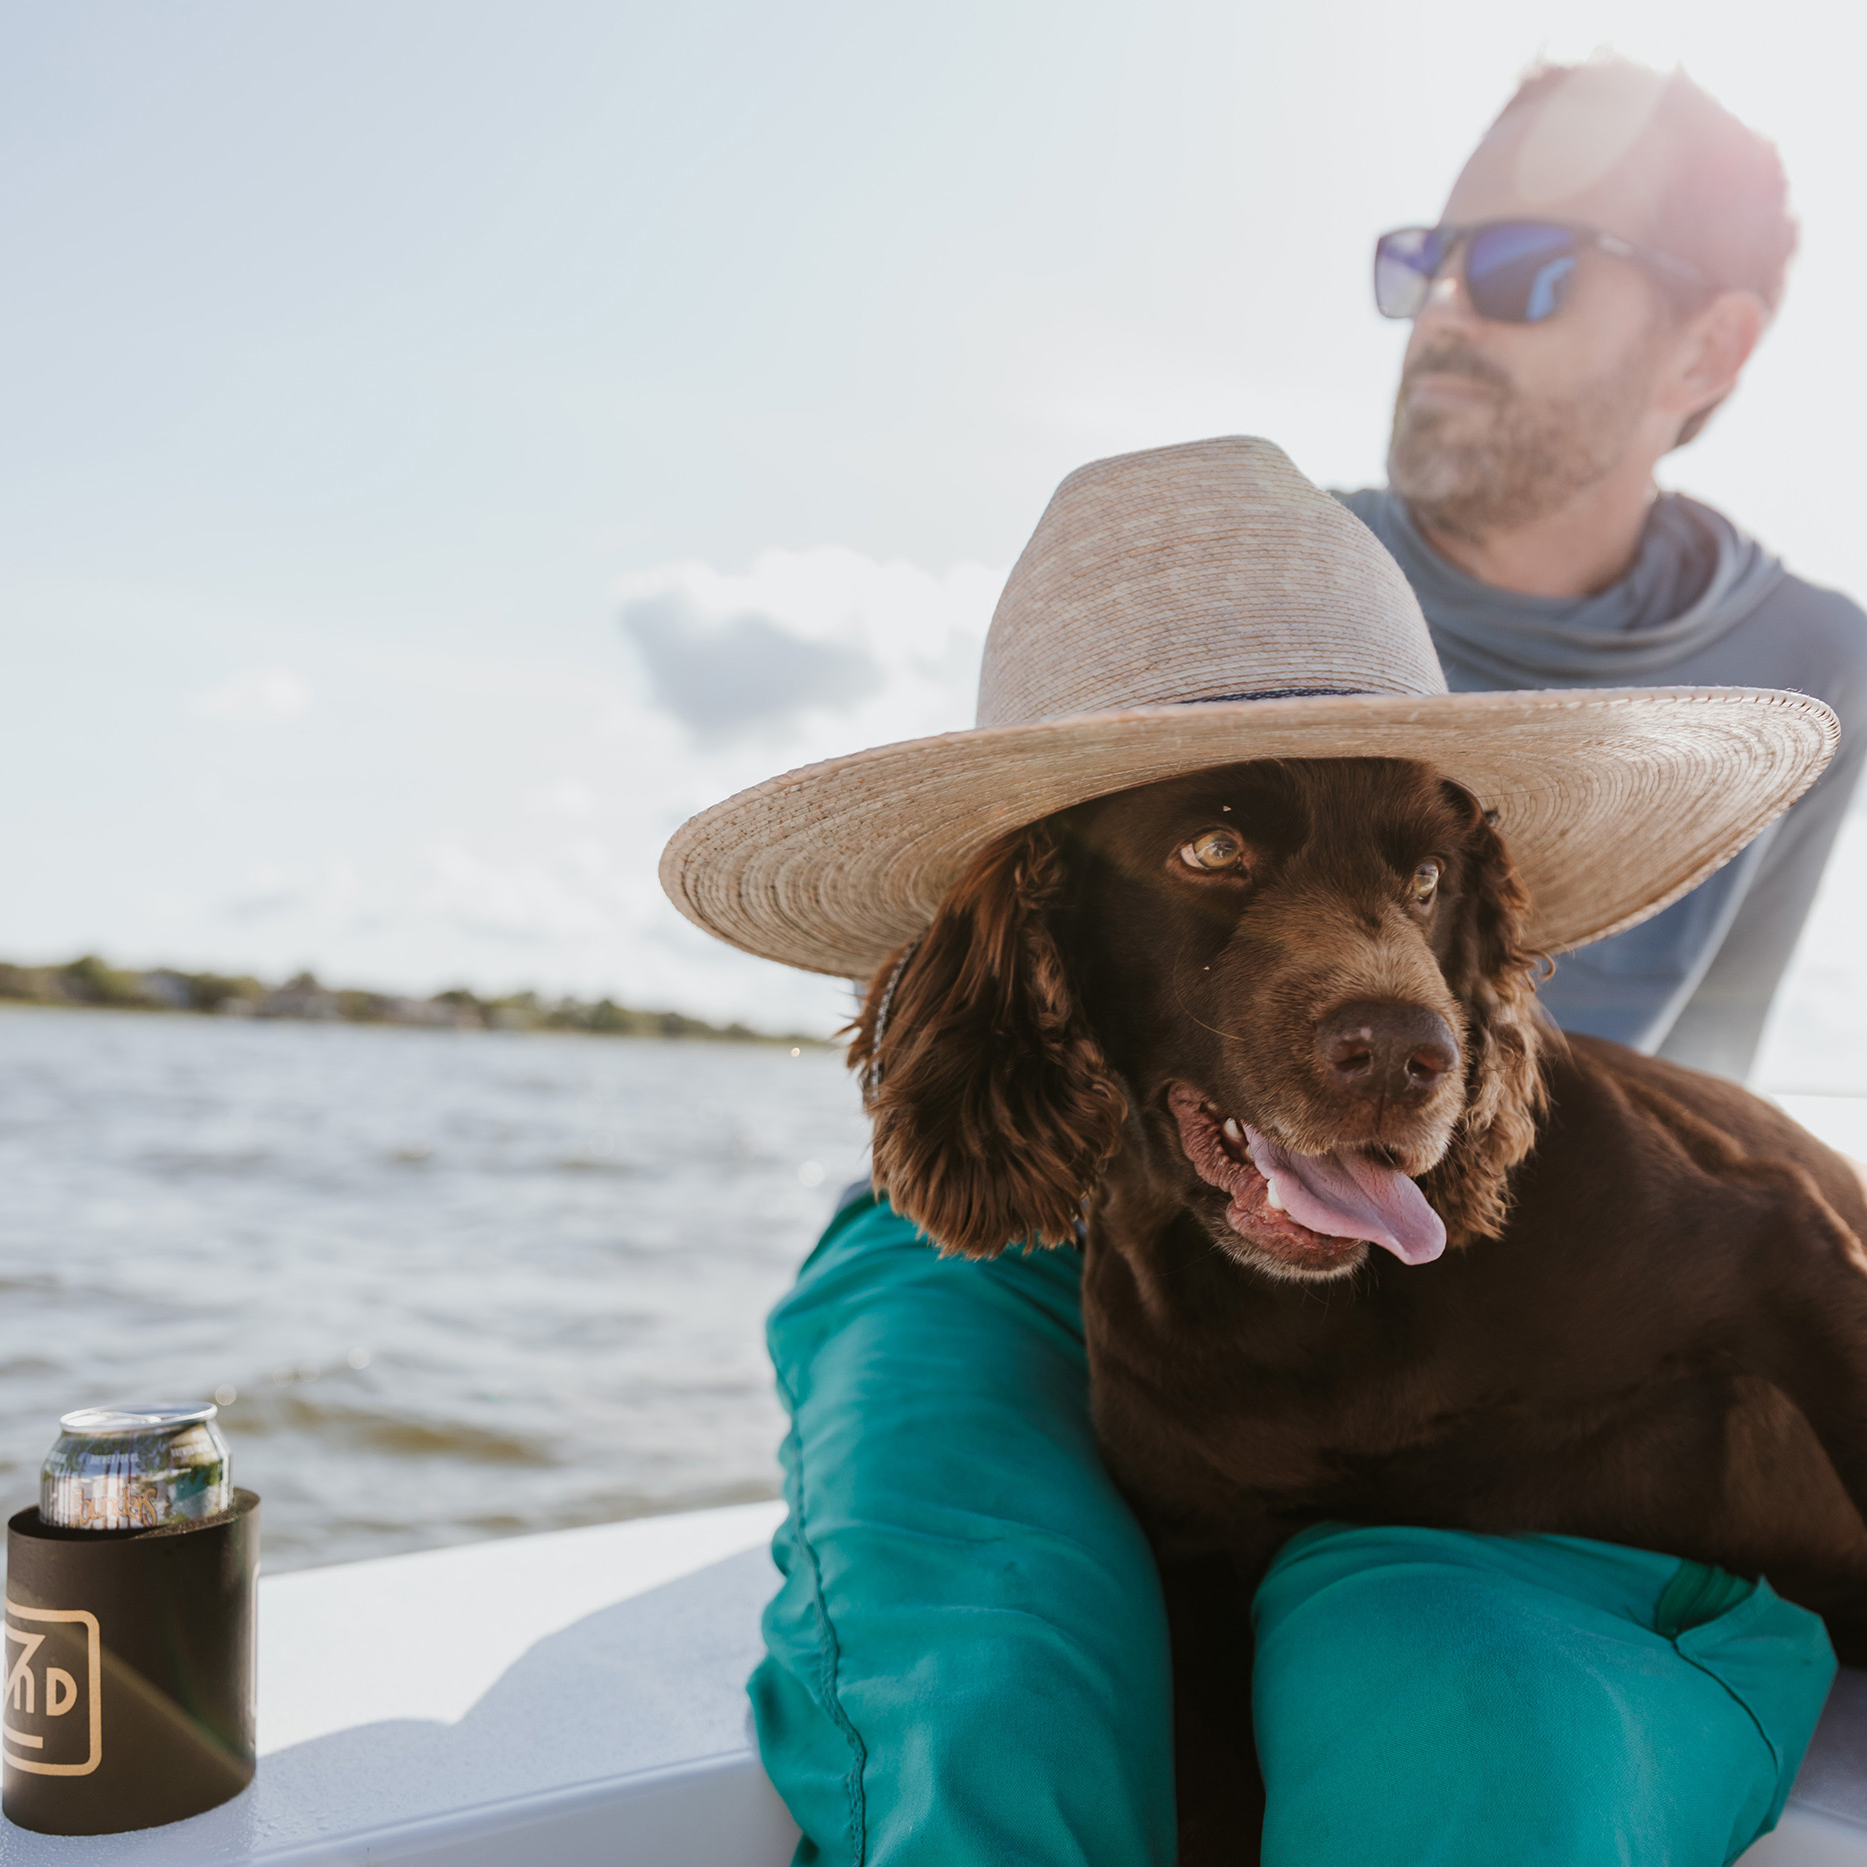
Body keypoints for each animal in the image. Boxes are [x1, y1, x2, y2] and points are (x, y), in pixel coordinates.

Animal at [855, 754, 1867, 1852]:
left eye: (1426, 879)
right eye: (1212, 847)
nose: (1402, 1054)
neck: (1325, 1314)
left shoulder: (1782, 1243)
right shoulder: (1195, 1552)